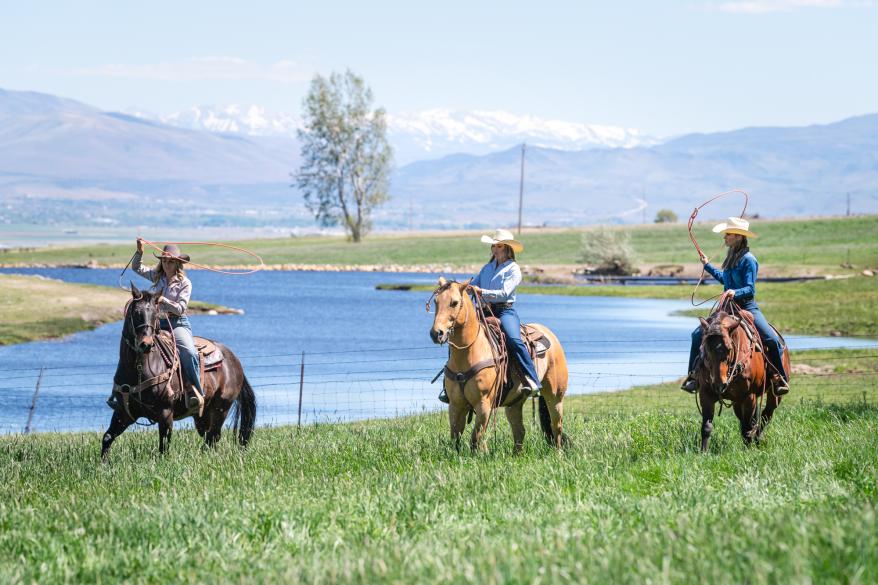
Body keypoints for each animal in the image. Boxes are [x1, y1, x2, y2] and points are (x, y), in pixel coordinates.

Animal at [102, 284, 258, 460]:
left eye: (155, 314)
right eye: (136, 313)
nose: (146, 344)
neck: (139, 370)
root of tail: (234, 360)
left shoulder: (165, 412)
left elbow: (164, 446)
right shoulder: (124, 412)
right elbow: (107, 437)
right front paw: (103, 464)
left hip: (221, 408)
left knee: (213, 436)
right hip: (202, 414)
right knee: (209, 436)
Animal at [428, 278, 572, 452]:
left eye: (454, 302)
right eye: (435, 301)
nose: (436, 333)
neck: (469, 352)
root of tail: (550, 334)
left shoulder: (484, 404)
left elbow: (475, 438)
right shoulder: (456, 405)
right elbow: (456, 438)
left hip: (555, 396)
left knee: (556, 426)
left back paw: (558, 453)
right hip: (514, 403)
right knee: (520, 431)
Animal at [696, 304, 796, 450]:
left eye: (729, 348)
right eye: (705, 347)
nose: (720, 385)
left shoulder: (749, 396)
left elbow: (747, 428)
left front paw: (748, 450)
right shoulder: (706, 394)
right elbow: (706, 427)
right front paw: (703, 451)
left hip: (774, 396)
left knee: (765, 416)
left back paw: (758, 440)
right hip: (737, 402)